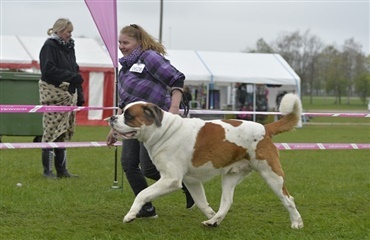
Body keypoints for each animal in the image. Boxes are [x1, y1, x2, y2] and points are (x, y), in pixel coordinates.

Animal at [107, 92, 304, 229]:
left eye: (128, 115)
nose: (112, 117)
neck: (163, 130)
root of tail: (264, 128)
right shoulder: (191, 181)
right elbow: (201, 202)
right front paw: (210, 214)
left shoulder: (170, 179)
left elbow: (143, 193)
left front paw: (130, 215)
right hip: (231, 176)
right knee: (227, 201)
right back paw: (214, 221)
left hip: (271, 174)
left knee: (288, 198)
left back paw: (296, 222)